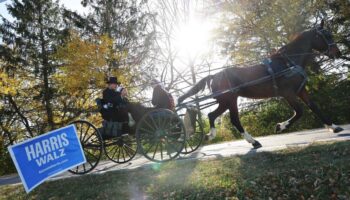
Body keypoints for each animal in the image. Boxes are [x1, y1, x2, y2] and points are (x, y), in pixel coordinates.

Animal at [179, 20, 344, 149]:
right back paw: (253, 141)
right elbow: (299, 112)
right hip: (230, 100)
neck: (287, 63)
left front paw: (334, 127)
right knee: (233, 119)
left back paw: (213, 135)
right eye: (326, 35)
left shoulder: (301, 90)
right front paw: (280, 127)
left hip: (226, 101)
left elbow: (314, 107)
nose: (338, 53)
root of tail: (215, 75)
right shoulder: (288, 93)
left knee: (213, 115)